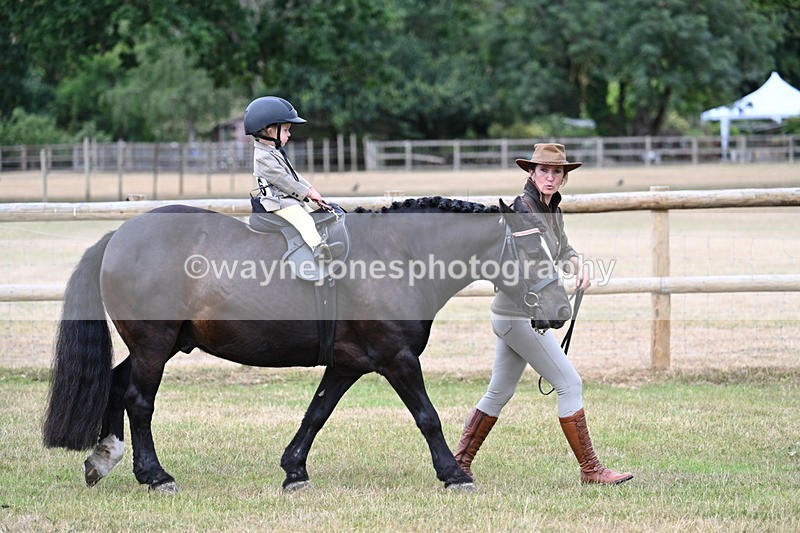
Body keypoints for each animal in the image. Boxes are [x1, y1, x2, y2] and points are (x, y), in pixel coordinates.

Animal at [43, 196, 571, 492]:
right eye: (530, 249)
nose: (561, 310)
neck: (398, 256)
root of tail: (119, 234)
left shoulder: (348, 363)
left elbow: (316, 413)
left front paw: (294, 471)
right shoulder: (397, 360)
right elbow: (428, 417)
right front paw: (454, 474)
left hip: (160, 345)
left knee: (116, 384)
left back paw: (102, 459)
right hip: (154, 346)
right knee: (139, 400)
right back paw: (155, 475)